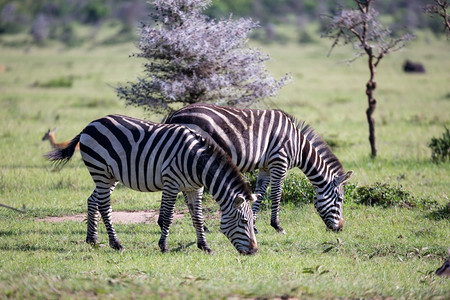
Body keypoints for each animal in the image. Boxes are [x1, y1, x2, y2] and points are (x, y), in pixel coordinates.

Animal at [46, 113, 258, 254]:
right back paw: (116, 244)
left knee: (93, 200)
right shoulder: (171, 182)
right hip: (100, 170)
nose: (254, 251)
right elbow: (168, 217)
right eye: (244, 222)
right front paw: (163, 246)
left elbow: (198, 217)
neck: (195, 161)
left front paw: (204, 246)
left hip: (110, 175)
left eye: (252, 222)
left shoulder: (194, 188)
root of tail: (89, 124)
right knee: (104, 206)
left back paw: (92, 239)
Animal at [165, 104, 352, 233]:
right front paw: (277, 226)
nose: (340, 229)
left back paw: (203, 227)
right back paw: (203, 227)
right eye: (340, 199)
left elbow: (260, 194)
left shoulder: (265, 168)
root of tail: (175, 114)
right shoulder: (279, 162)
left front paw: (253, 225)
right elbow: (276, 194)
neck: (297, 145)